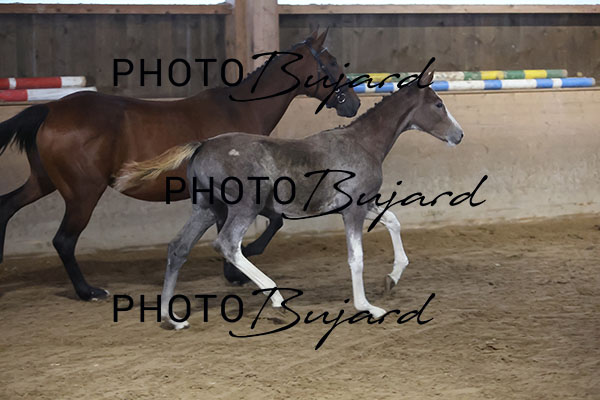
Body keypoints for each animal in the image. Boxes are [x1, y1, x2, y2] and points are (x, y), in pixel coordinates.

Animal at [0, 29, 361, 301]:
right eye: (330, 62)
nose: (354, 103)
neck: (239, 111)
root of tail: (50, 110)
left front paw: (235, 270)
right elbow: (269, 223)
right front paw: (244, 262)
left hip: (44, 182)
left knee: (7, 207)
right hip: (82, 193)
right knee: (64, 240)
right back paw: (88, 291)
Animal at [114, 66, 464, 329]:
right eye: (438, 104)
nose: (459, 135)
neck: (363, 143)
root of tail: (202, 145)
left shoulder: (362, 204)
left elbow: (393, 221)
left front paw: (392, 278)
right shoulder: (352, 210)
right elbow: (357, 257)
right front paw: (367, 306)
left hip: (205, 209)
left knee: (178, 248)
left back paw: (170, 317)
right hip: (243, 208)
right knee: (227, 244)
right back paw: (277, 298)